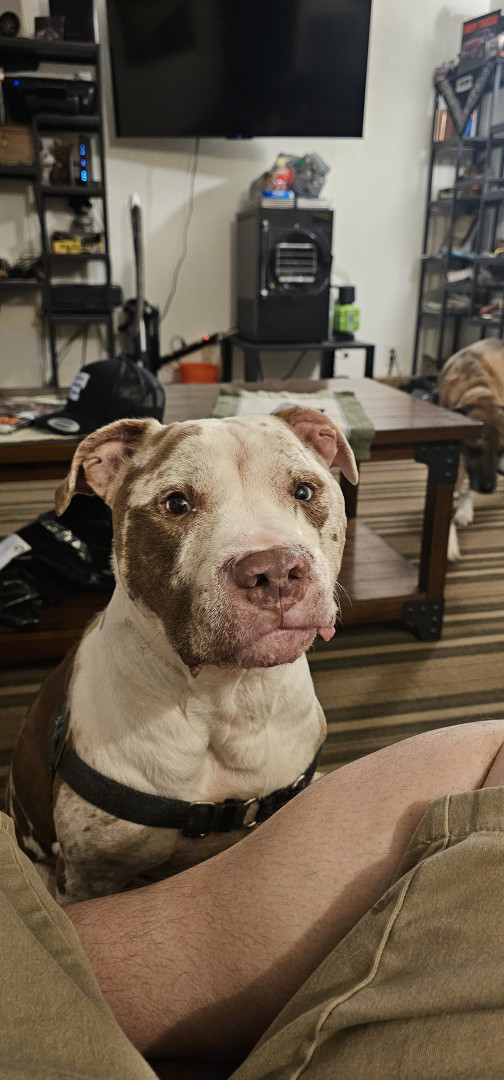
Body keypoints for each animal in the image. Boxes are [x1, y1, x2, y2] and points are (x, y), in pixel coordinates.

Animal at [438, 340, 504, 561]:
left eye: (502, 450)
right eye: (475, 449)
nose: (488, 488)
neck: (478, 392)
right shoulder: (456, 454)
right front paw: (448, 542)